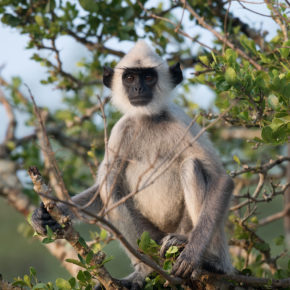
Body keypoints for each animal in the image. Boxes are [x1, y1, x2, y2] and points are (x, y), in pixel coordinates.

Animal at [31, 39, 234, 288]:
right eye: (129, 78)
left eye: (148, 77)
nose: (138, 89)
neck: (148, 118)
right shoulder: (121, 130)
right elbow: (101, 192)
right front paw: (45, 215)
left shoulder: (181, 121)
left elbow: (221, 179)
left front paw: (193, 255)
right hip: (151, 237)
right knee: (110, 183)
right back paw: (144, 272)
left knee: (190, 166)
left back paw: (211, 261)